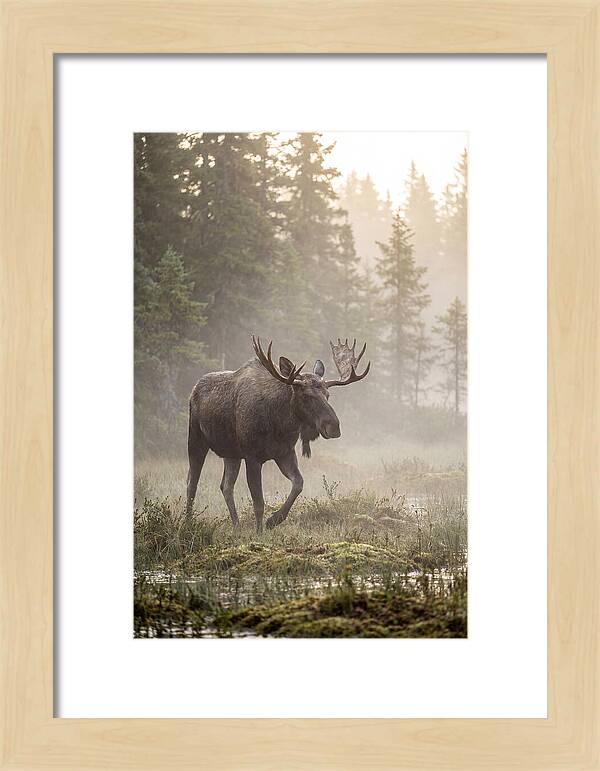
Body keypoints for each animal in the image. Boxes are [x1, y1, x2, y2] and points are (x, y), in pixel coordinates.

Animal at [186, 336, 370, 532]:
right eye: (306, 395)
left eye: (328, 395)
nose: (334, 427)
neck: (279, 424)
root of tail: (194, 389)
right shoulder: (252, 457)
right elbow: (259, 502)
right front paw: (259, 532)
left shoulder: (284, 453)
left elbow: (298, 483)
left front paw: (274, 520)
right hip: (196, 439)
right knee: (192, 483)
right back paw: (188, 522)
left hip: (231, 454)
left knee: (226, 486)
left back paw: (236, 526)